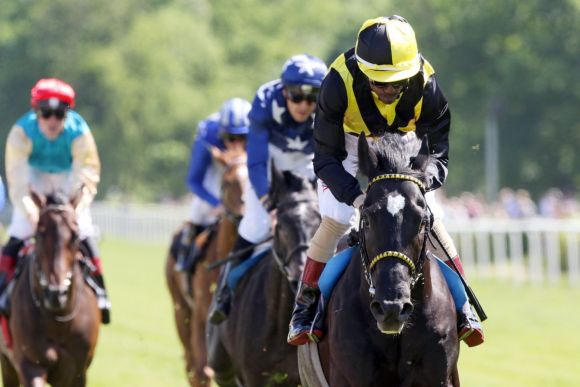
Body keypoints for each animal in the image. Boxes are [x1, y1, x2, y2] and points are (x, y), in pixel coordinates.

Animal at [0, 192, 98, 386]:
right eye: (40, 233)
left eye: (75, 235)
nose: (56, 294)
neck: (59, 320)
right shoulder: (30, 365)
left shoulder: (77, 373)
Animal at [165, 147, 247, 386]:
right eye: (227, 182)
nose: (244, 216)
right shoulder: (201, 316)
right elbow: (203, 371)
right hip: (180, 309)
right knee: (191, 366)